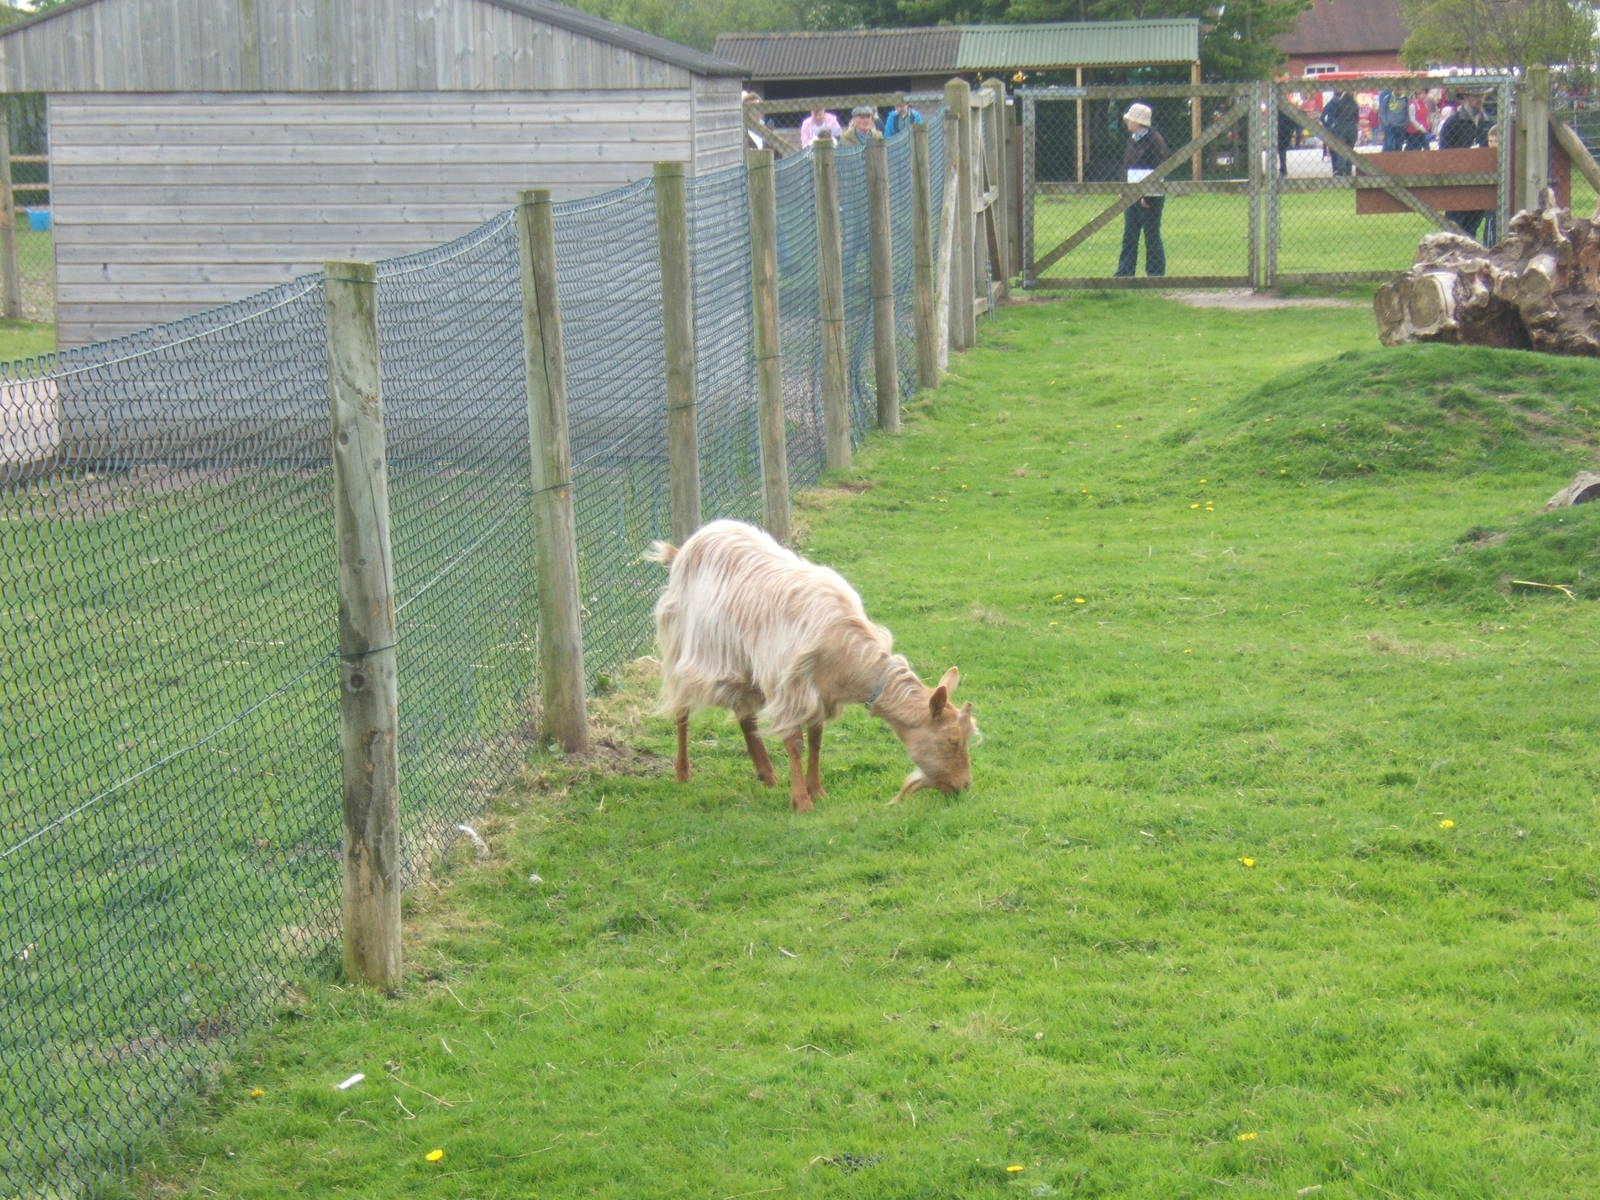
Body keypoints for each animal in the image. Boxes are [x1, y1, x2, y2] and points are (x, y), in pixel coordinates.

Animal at [646, 519, 976, 810]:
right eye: (952, 740)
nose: (963, 786)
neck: (844, 649)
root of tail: (687, 545)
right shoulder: (790, 685)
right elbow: (795, 742)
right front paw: (802, 801)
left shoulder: (823, 692)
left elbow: (816, 740)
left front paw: (817, 790)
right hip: (680, 643)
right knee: (682, 707)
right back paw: (683, 771)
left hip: (744, 664)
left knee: (745, 713)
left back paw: (767, 773)